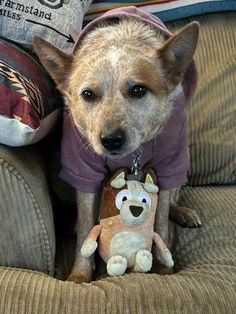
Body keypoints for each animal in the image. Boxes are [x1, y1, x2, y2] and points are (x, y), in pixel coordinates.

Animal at [34, 7, 201, 284]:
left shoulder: (171, 163)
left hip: (183, 160)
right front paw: (80, 275)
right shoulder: (83, 168)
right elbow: (86, 228)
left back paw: (182, 212)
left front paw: (164, 268)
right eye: (88, 94)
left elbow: (161, 222)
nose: (110, 139)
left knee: (171, 203)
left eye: (138, 90)